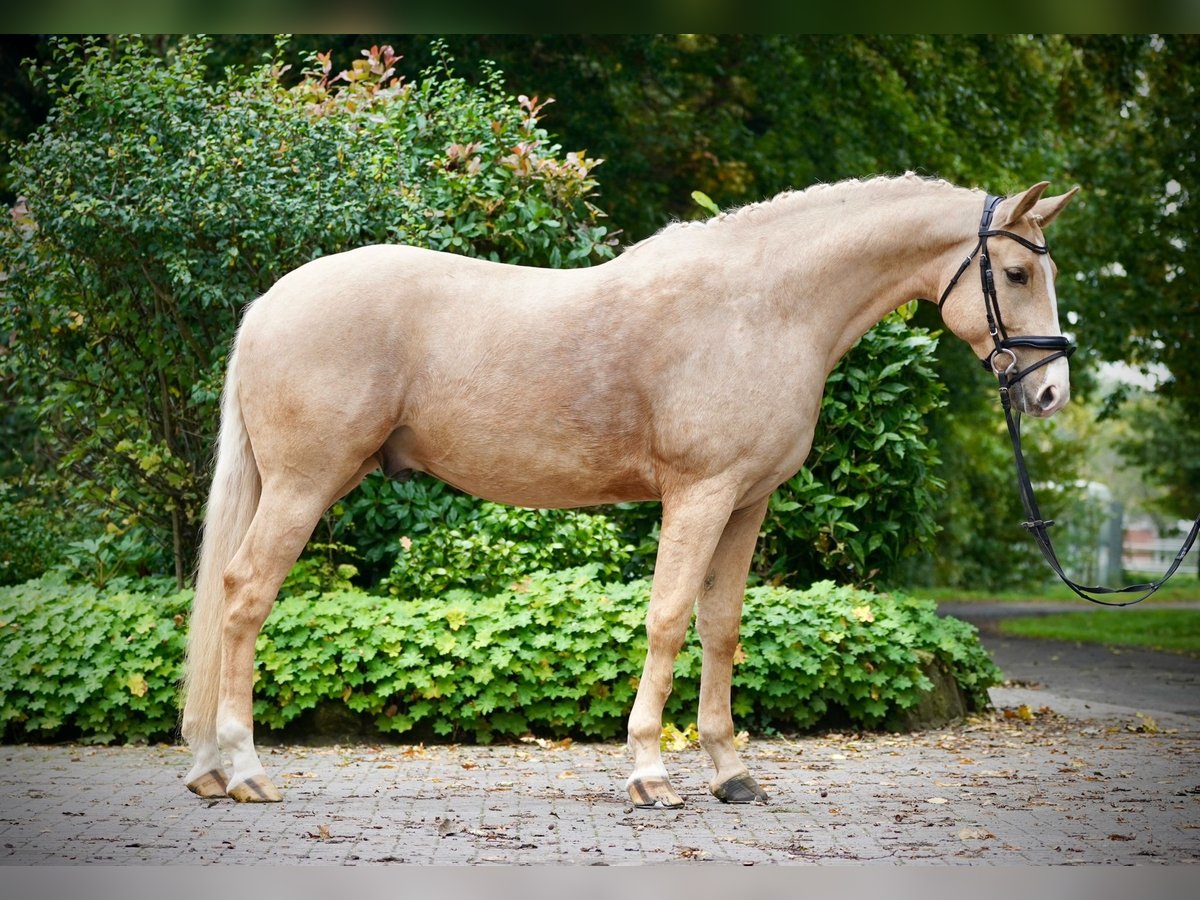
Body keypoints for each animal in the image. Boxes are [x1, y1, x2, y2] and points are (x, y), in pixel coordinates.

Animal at [181, 174, 1079, 807]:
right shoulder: (700, 495)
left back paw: (213, 769)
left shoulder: (746, 502)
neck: (761, 308)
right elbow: (668, 620)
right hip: (302, 485)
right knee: (245, 595)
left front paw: (729, 771)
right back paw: (245, 769)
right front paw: (650, 771)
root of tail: (271, 302)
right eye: (1014, 270)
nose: (1049, 394)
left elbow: (721, 628)